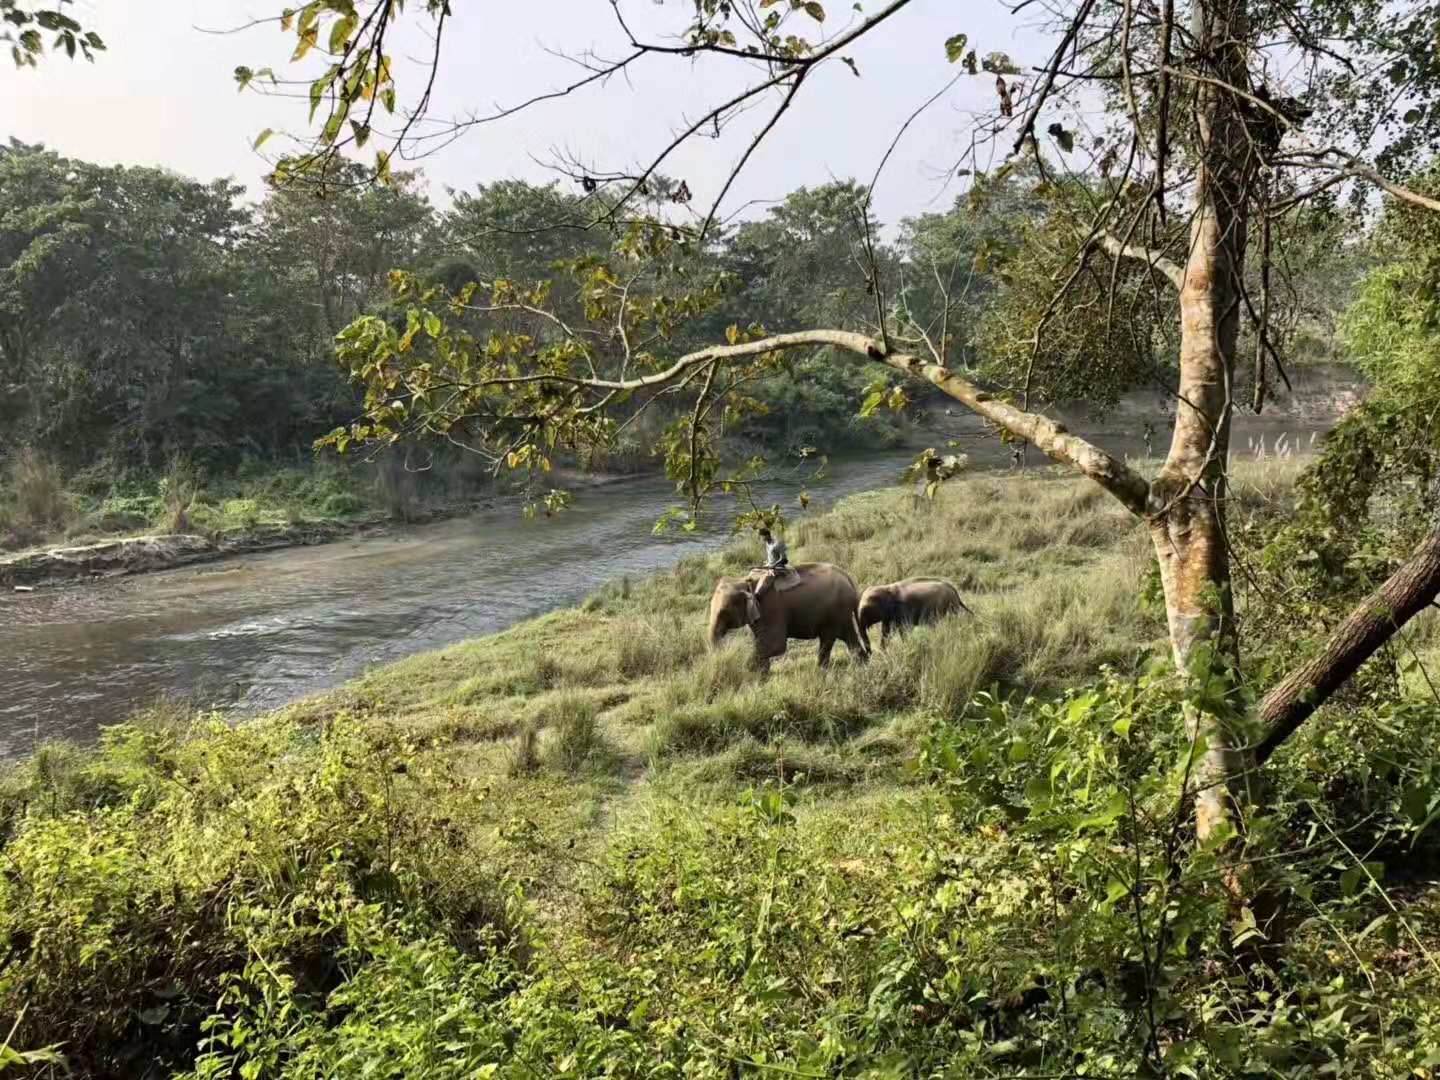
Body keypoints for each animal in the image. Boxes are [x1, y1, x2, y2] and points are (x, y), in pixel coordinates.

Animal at [705, 561, 864, 673]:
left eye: (724, 612)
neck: (744, 581)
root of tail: (849, 579)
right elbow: (762, 642)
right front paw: (762, 676)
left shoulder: (771, 608)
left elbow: (776, 645)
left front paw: (747, 671)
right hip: (840, 613)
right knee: (846, 638)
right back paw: (861, 664)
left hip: (836, 611)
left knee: (829, 639)